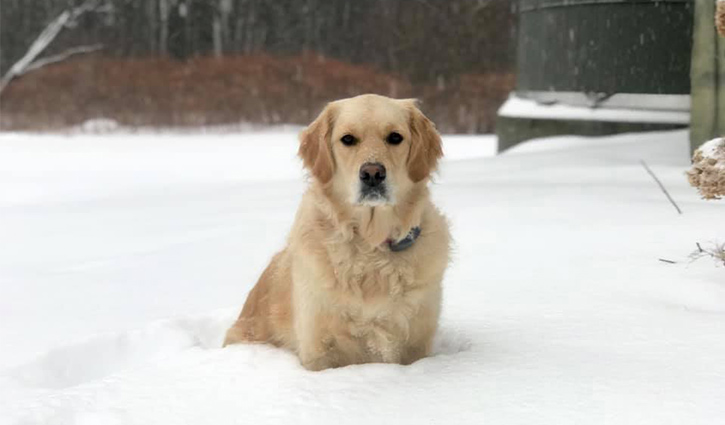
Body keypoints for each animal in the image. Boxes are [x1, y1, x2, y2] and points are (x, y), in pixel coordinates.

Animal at [223, 94, 450, 370]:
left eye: (395, 137)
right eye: (348, 139)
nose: (372, 173)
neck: (370, 247)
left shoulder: (417, 345)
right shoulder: (318, 350)